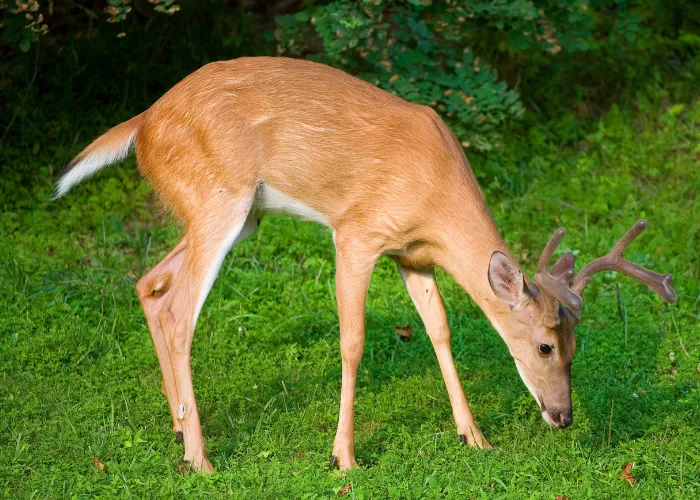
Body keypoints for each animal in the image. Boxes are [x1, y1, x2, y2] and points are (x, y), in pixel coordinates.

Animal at [54, 56, 680, 470]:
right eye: (546, 346)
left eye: (577, 346)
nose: (563, 416)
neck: (435, 196)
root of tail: (142, 124)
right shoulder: (356, 233)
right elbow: (352, 341)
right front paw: (344, 457)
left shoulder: (413, 254)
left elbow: (440, 328)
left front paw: (474, 436)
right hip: (218, 198)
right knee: (179, 309)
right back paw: (202, 460)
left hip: (237, 212)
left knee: (150, 281)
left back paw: (177, 424)